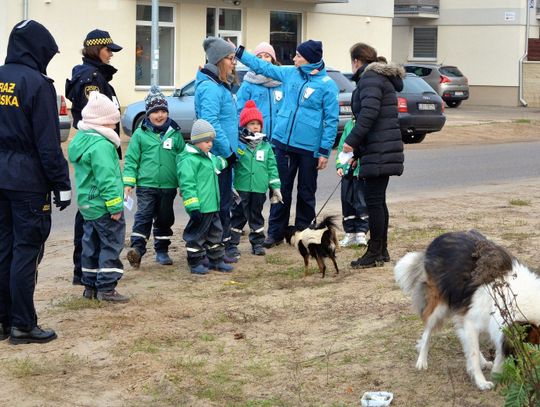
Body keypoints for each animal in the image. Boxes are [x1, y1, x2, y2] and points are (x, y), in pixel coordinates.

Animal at [392, 231, 540, 390]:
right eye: (532, 350)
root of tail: (442, 236)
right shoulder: (473, 321)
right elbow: (474, 353)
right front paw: (481, 381)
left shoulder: (492, 325)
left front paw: (496, 372)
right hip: (439, 306)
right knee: (428, 331)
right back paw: (421, 360)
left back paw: (484, 361)